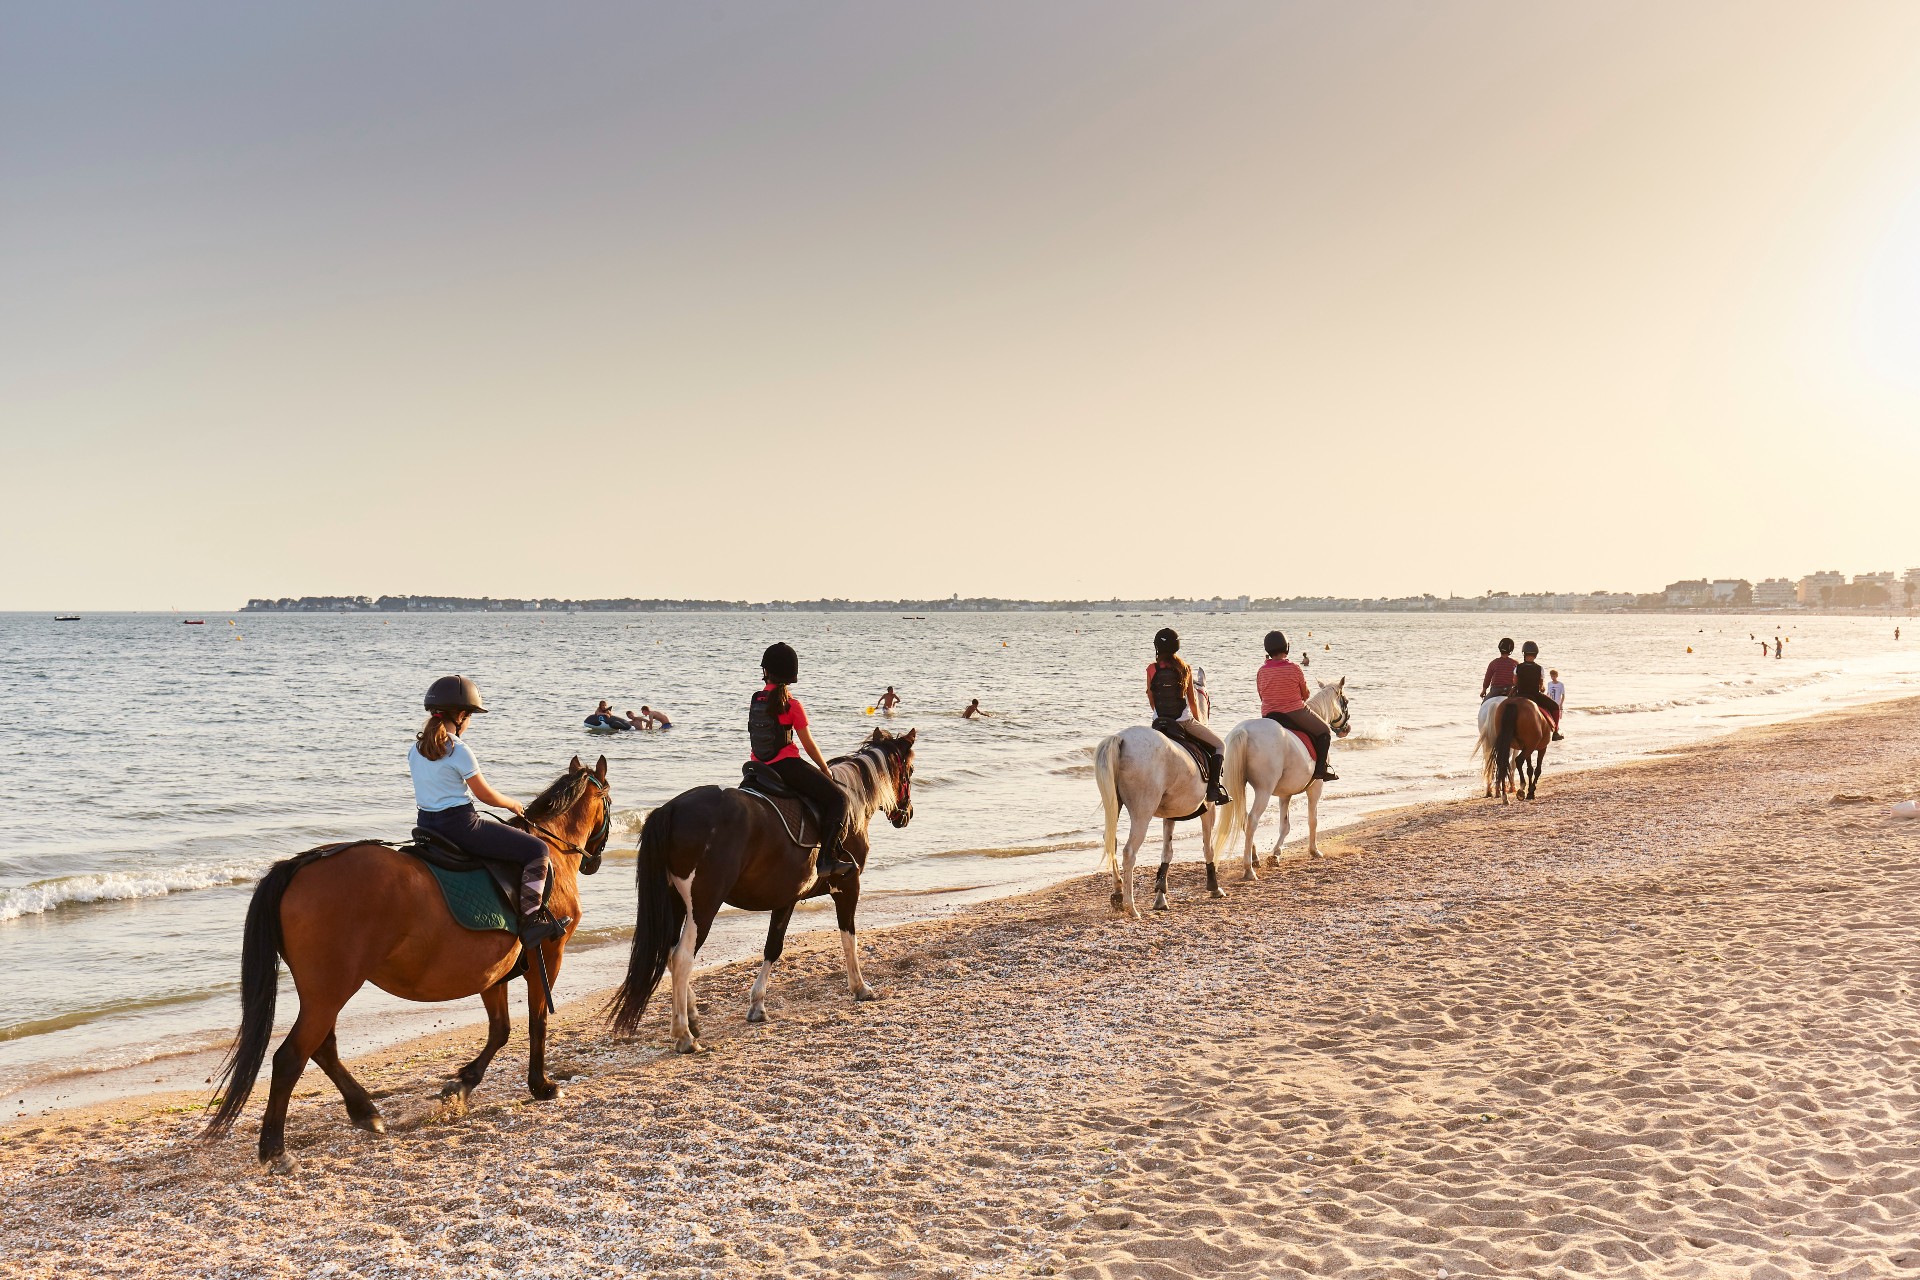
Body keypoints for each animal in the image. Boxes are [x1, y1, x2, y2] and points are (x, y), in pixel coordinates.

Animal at [203, 756, 610, 1166]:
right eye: (608, 802)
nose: (593, 863)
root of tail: (302, 865)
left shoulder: (492, 972)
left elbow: (500, 1030)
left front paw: (461, 1085)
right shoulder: (548, 956)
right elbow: (537, 1023)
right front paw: (542, 1086)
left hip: (322, 992)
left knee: (321, 1048)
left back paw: (364, 1111)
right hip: (331, 990)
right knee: (291, 1057)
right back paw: (275, 1148)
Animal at [610, 725, 917, 1059]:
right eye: (910, 771)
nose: (907, 814)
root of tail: (672, 808)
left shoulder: (786, 898)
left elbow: (773, 947)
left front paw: (757, 1004)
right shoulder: (848, 886)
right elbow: (849, 937)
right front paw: (860, 987)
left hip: (674, 903)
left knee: (667, 953)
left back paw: (691, 1015)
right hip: (703, 906)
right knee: (681, 959)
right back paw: (684, 1034)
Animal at [1098, 725, 1213, 917]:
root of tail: (1121, 738)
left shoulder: (1170, 815)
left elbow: (1167, 851)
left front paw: (1160, 897)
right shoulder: (1209, 807)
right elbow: (1208, 847)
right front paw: (1214, 887)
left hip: (1115, 805)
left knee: (1111, 841)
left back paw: (1118, 893)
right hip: (1142, 813)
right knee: (1129, 852)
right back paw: (1131, 907)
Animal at [1213, 679, 1351, 882]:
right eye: (1345, 702)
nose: (1346, 729)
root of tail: (1244, 731)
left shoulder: (1285, 794)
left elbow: (1284, 826)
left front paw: (1275, 854)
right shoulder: (1315, 788)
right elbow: (1312, 820)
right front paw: (1314, 851)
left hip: (1239, 787)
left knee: (1243, 819)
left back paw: (1254, 858)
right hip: (1264, 789)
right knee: (1252, 820)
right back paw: (1248, 869)